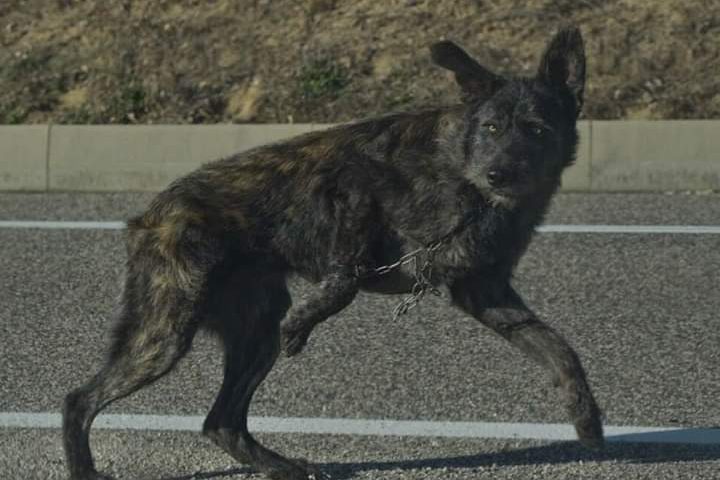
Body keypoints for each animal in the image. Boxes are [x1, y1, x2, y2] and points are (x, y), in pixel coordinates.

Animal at [63, 27, 600, 480]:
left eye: (536, 129)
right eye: (490, 128)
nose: (498, 175)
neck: (465, 180)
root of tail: (151, 214)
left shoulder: (486, 293)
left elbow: (559, 349)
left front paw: (586, 415)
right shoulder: (352, 186)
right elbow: (347, 274)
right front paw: (310, 318)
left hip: (253, 334)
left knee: (222, 422)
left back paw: (280, 466)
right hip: (164, 335)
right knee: (79, 401)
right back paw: (85, 467)